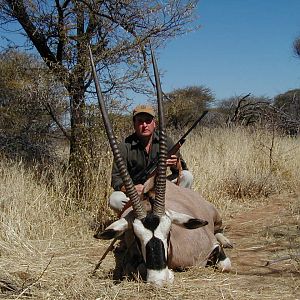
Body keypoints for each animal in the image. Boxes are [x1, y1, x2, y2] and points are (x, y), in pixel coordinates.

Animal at [89, 45, 232, 288]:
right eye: (137, 237)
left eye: (168, 231)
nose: (160, 279)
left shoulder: (212, 248)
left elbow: (224, 263)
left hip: (216, 215)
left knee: (220, 231)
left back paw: (227, 239)